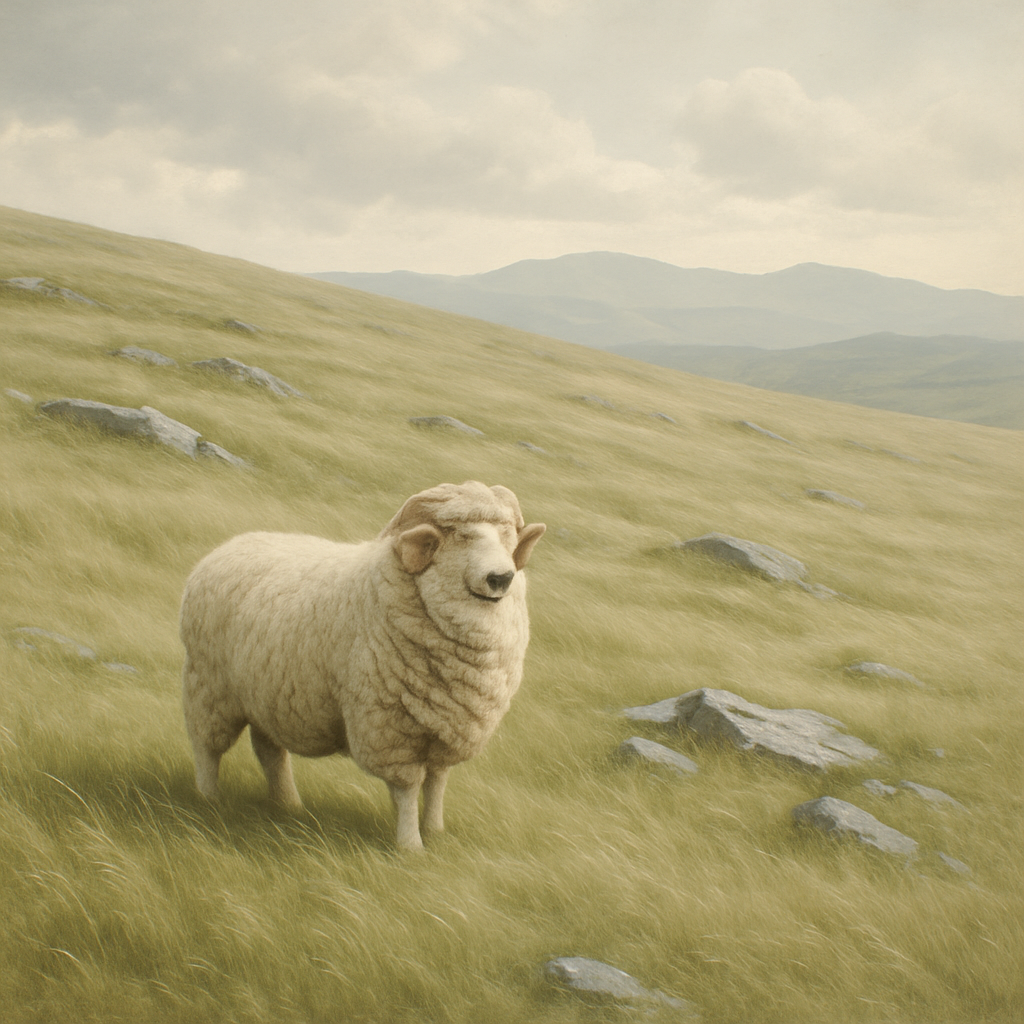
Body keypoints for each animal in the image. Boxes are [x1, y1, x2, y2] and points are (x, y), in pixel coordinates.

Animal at [180, 481, 545, 850]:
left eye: (507, 537)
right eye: (463, 536)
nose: (501, 578)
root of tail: (227, 546)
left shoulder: (449, 727)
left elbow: (437, 781)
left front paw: (435, 831)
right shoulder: (389, 730)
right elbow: (407, 789)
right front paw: (410, 845)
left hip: (267, 696)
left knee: (269, 751)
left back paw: (287, 804)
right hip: (209, 686)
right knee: (206, 746)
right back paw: (209, 799)